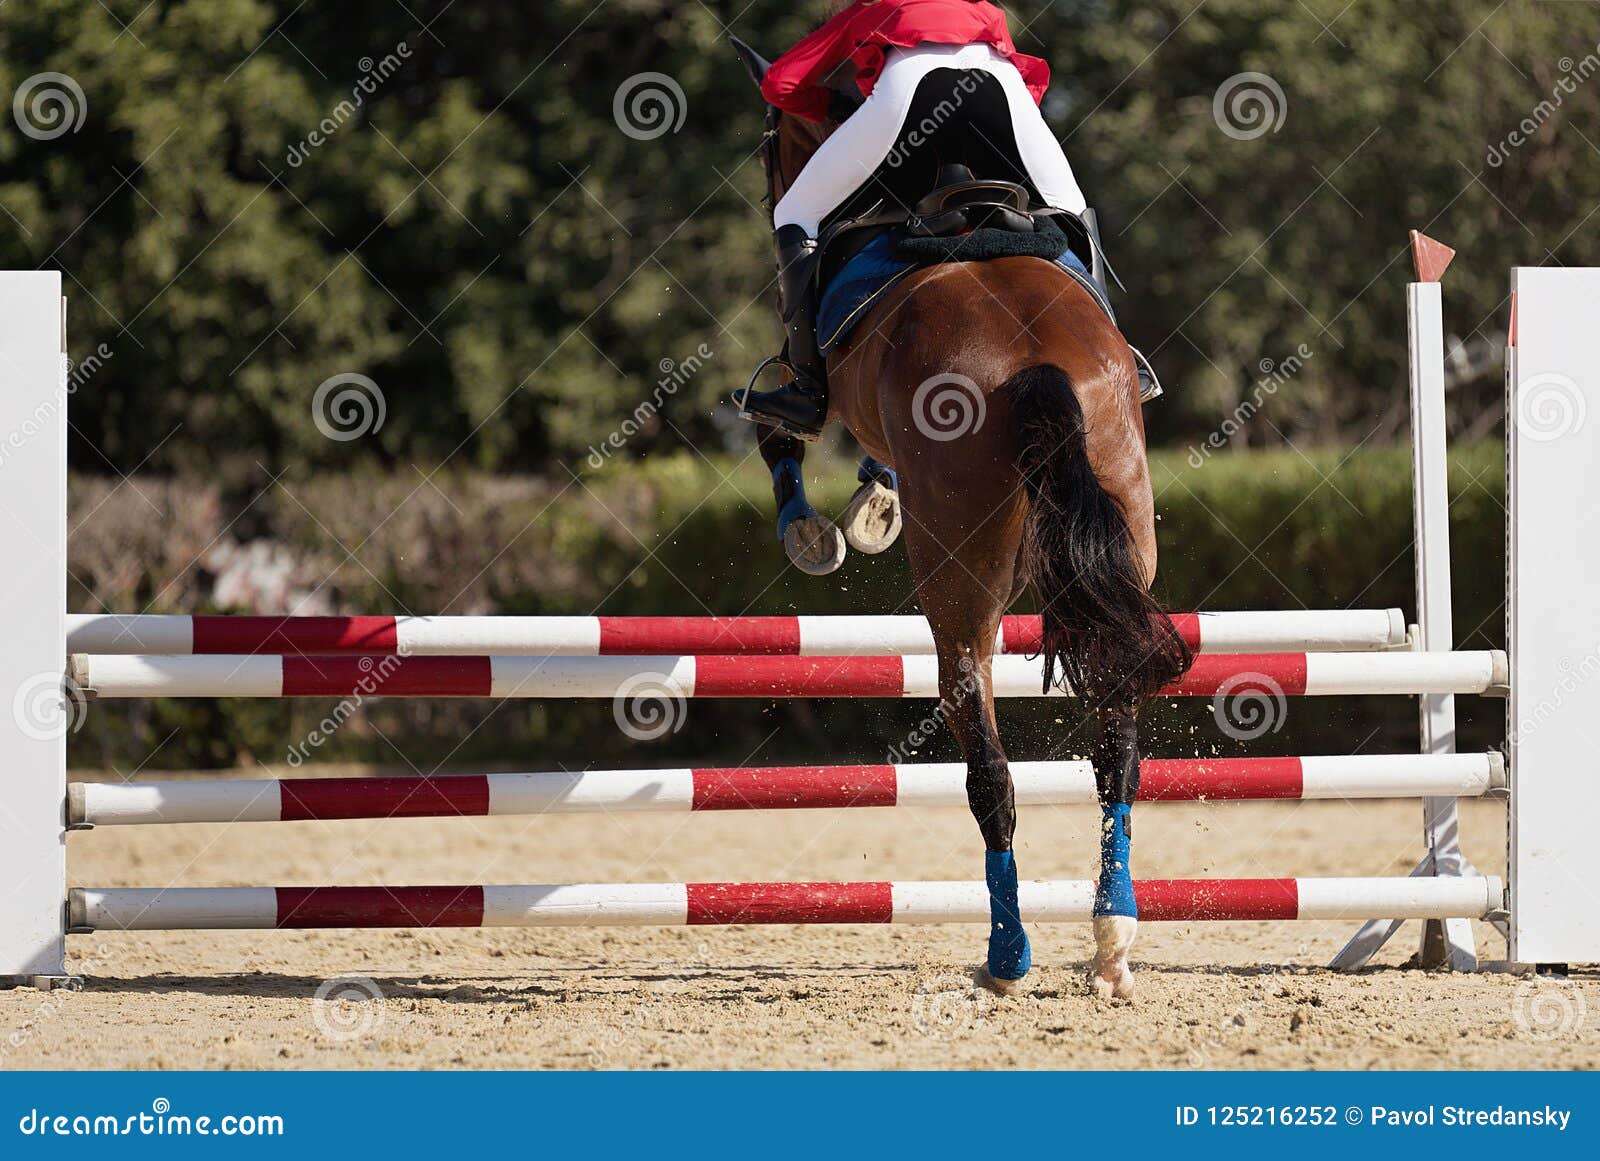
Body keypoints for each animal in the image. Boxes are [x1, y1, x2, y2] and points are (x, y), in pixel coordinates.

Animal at [732, 40, 1190, 997]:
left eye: (767, 146)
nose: (766, 189)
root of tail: (1033, 362)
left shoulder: (830, 396)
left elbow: (780, 426)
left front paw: (825, 528)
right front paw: (867, 508)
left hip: (959, 588)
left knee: (987, 761)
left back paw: (1007, 953)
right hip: (1122, 529)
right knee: (1117, 751)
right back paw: (1111, 938)